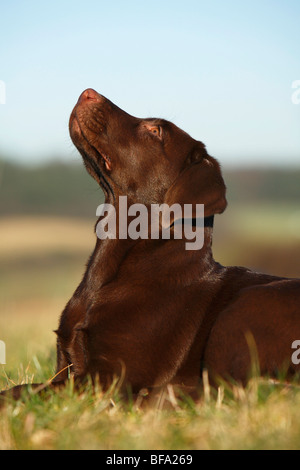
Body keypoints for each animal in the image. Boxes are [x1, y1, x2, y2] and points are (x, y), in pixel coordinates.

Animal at [0, 90, 300, 402]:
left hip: (243, 309)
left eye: (155, 131)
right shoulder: (67, 365)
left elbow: (27, 391)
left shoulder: (110, 379)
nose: (87, 92)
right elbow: (27, 387)